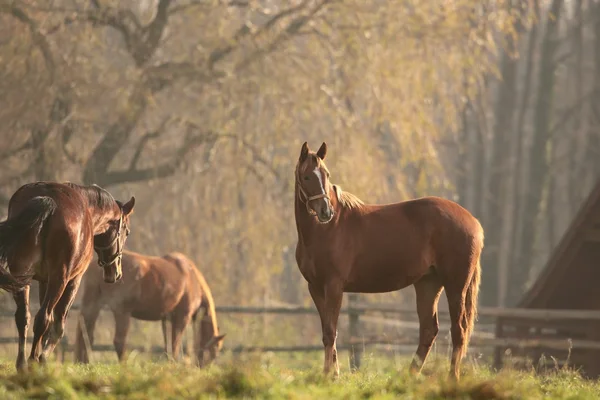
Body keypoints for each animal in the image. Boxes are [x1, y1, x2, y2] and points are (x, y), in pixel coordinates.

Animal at [0, 183, 135, 370]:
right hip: (59, 280)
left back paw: (22, 364)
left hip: (22, 277)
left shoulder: (44, 281)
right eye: (127, 232)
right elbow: (58, 324)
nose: (116, 273)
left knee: (24, 317)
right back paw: (34, 361)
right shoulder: (73, 280)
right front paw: (42, 357)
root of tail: (47, 200)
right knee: (43, 318)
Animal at [74, 252, 225, 368]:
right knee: (119, 341)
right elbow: (175, 343)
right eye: (215, 349)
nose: (202, 367)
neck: (191, 277)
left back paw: (82, 363)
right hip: (122, 312)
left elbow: (168, 343)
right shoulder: (182, 317)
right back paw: (124, 365)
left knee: (85, 335)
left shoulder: (166, 319)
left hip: (91, 306)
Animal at [292, 142, 486, 380]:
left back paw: (452, 378)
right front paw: (329, 373)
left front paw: (332, 376)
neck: (327, 229)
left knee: (458, 330)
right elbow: (326, 332)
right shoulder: (316, 288)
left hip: (456, 286)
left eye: (326, 174)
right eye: (307, 176)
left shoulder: (334, 286)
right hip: (428, 284)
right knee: (429, 330)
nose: (325, 212)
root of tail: (473, 221)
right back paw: (410, 375)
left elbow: (331, 330)